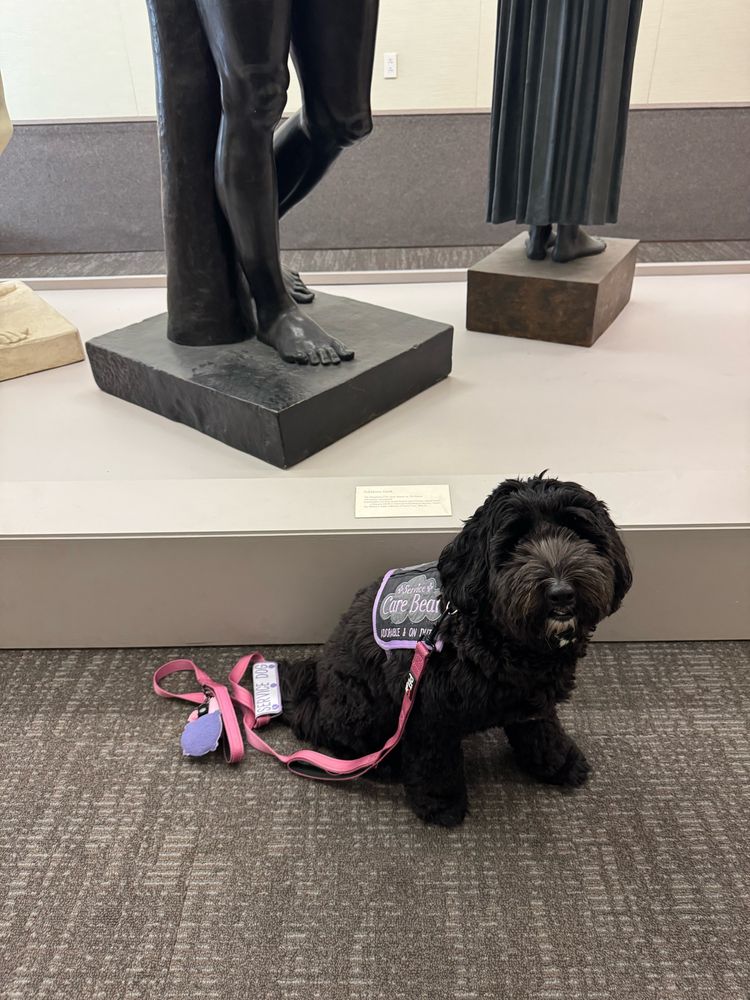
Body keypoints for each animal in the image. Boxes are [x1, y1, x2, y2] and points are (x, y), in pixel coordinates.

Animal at [279, 475, 632, 826]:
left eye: (578, 531)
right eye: (515, 542)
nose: (561, 592)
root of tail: (314, 697)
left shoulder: (535, 699)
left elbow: (543, 731)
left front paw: (559, 762)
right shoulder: (428, 713)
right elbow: (434, 762)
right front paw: (440, 802)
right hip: (362, 706)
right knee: (345, 744)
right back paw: (384, 763)